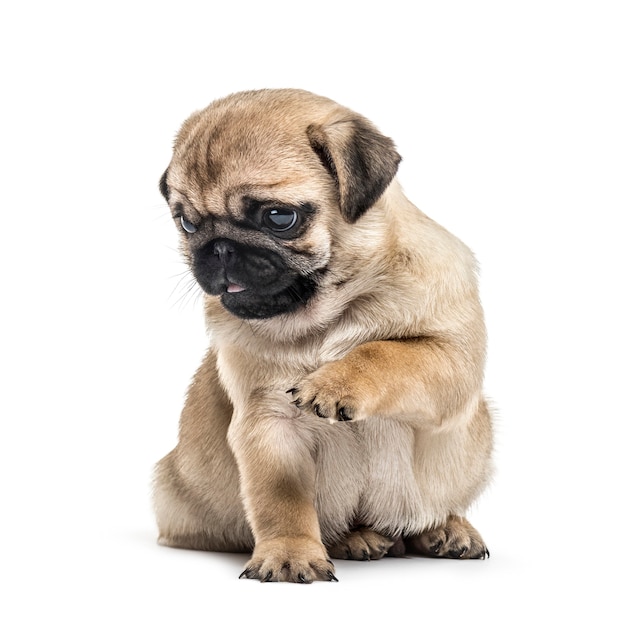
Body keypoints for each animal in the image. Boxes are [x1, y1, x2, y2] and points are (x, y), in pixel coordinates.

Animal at [152, 88, 492, 580]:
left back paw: (445, 527)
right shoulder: (269, 424)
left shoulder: (451, 360)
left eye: (279, 218)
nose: (218, 249)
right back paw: (357, 538)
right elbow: (282, 501)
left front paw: (334, 382)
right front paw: (290, 553)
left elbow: (387, 353)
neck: (326, 316)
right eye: (188, 224)